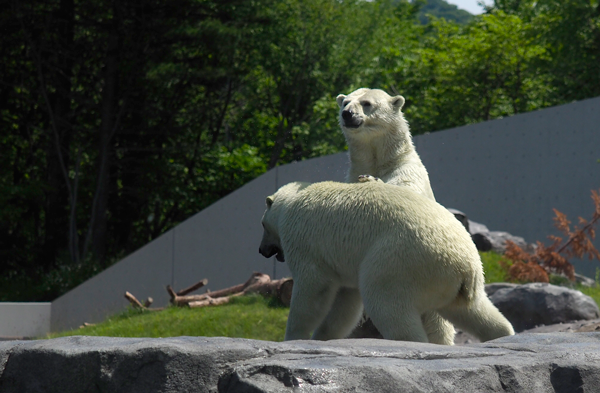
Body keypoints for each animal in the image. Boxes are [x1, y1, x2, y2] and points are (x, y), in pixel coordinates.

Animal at [258, 179, 516, 342]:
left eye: (262, 225)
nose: (261, 250)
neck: (294, 200)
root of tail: (465, 266)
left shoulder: (304, 241)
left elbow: (312, 291)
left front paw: (294, 337)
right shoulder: (344, 264)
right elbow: (345, 303)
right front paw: (323, 337)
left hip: (401, 260)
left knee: (387, 303)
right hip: (461, 284)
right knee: (475, 311)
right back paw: (502, 334)